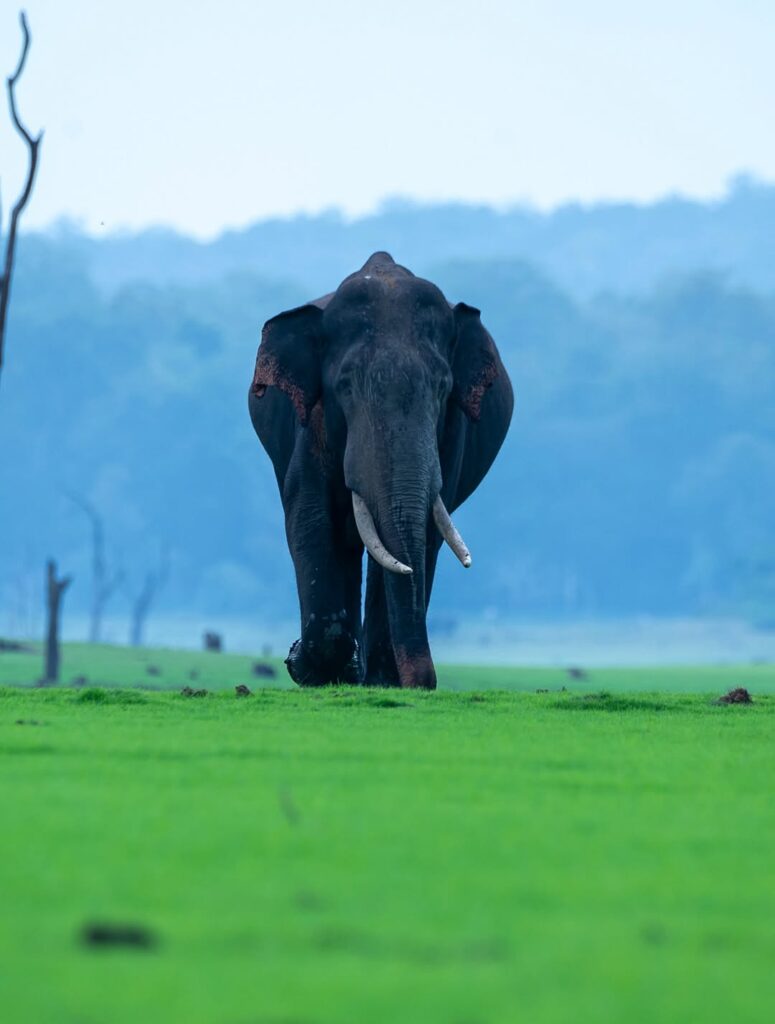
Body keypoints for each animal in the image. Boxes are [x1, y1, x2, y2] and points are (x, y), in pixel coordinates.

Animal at [248, 252, 513, 689]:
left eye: (442, 388)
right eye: (345, 386)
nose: (427, 682)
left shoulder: (451, 434)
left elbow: (426, 532)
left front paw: (377, 678)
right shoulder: (312, 423)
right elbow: (309, 516)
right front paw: (310, 667)